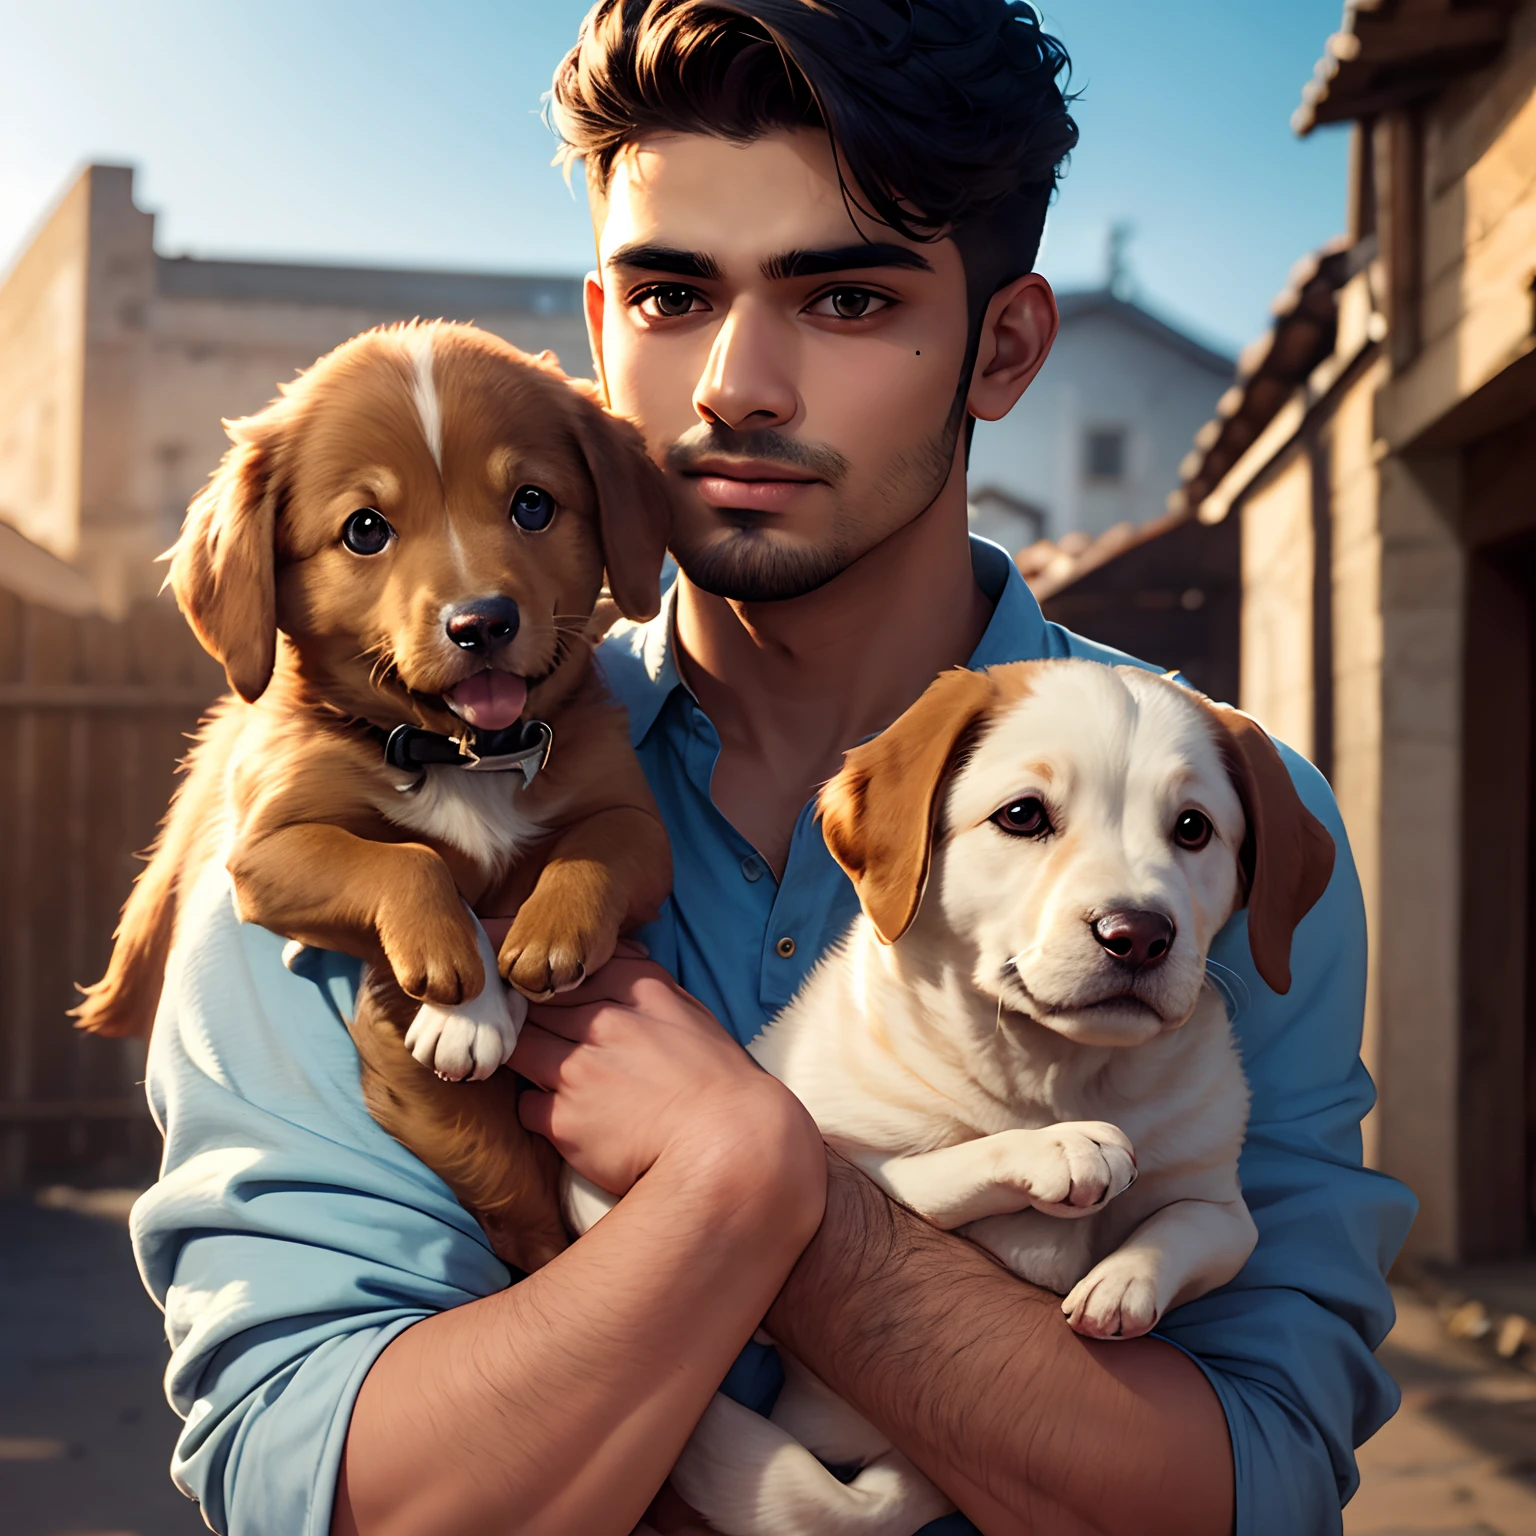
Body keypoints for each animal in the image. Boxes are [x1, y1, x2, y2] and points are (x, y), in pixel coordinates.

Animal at [73, 321, 672, 1271]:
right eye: (365, 529)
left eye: (533, 506)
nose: (482, 622)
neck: (463, 758)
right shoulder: (268, 854)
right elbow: (410, 858)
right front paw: (463, 1002)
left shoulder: (636, 822)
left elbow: (593, 848)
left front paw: (545, 936)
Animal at [574, 660, 1333, 1536]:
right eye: (1022, 815)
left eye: (1193, 829)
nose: (1138, 934)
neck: (1054, 1073)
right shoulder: (840, 1152)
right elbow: (942, 1164)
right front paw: (1055, 1150)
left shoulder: (1222, 1208)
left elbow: (1184, 1227)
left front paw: (1124, 1281)